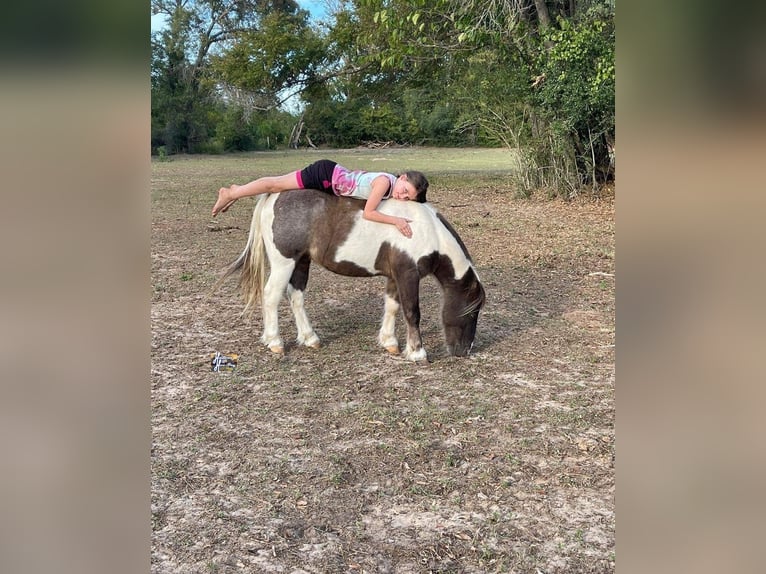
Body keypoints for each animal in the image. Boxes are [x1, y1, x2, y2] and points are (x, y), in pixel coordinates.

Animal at [220, 191, 486, 362]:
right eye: (472, 310)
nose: (465, 351)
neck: (422, 228)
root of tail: (273, 197)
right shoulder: (408, 275)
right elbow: (412, 312)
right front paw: (417, 353)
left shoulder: (395, 276)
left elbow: (392, 306)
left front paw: (389, 342)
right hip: (284, 262)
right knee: (271, 296)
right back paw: (275, 342)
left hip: (301, 262)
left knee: (295, 298)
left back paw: (310, 338)